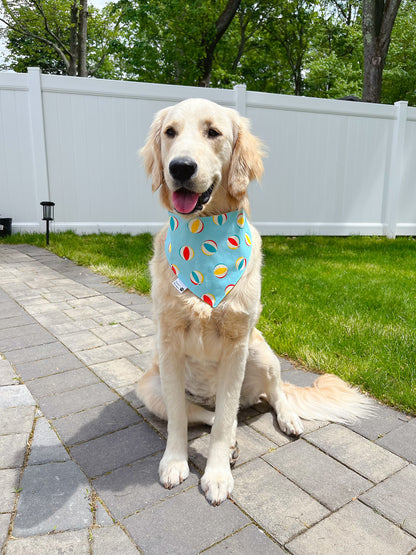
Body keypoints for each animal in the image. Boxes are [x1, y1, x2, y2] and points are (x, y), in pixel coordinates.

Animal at [137, 97, 374, 506]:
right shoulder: (167, 343)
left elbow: (227, 418)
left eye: (213, 132)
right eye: (170, 132)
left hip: (260, 350)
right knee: (205, 412)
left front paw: (217, 475)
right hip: (150, 388)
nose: (180, 167)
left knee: (270, 396)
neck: (205, 238)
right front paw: (175, 461)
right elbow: (184, 420)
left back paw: (288, 418)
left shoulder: (237, 344)